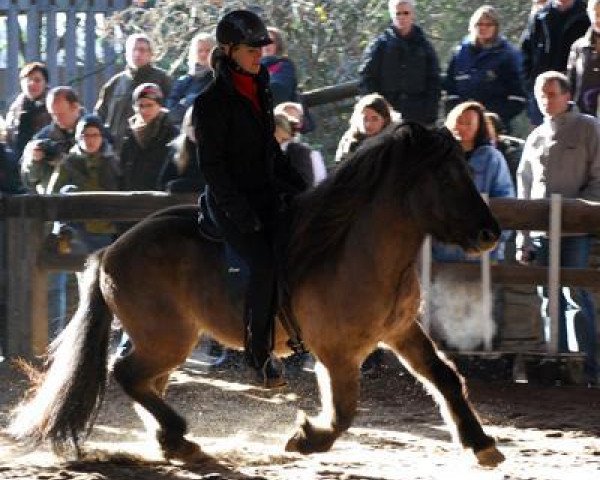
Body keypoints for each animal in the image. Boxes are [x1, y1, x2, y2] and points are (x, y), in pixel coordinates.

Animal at [8, 122, 506, 466]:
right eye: (447, 178)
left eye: (468, 169)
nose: (490, 234)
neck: (354, 250)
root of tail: (111, 250)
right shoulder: (338, 353)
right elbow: (343, 411)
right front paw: (306, 438)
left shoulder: (401, 332)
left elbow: (444, 377)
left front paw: (481, 443)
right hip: (167, 339)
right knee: (127, 374)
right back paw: (178, 434)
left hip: (163, 340)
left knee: (145, 381)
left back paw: (174, 442)